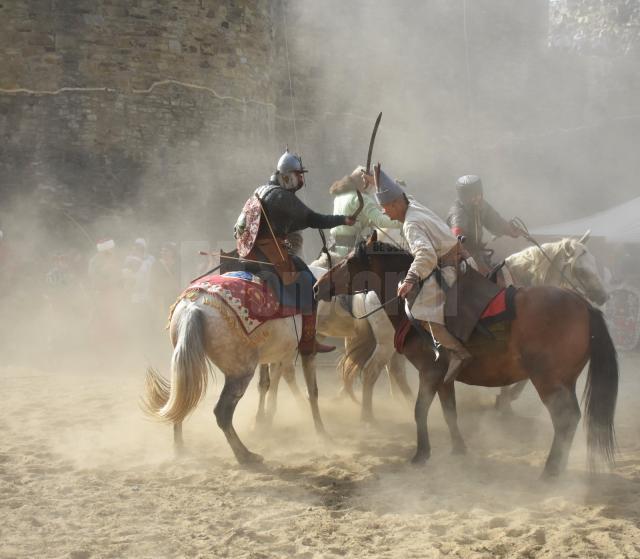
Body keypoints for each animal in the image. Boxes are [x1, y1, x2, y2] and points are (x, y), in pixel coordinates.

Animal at [314, 234, 616, 480]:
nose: (318, 286)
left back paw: (551, 470)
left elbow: (421, 410)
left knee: (565, 419)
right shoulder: (443, 377)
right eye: (581, 267)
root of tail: (584, 307)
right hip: (564, 381)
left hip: (549, 381)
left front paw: (421, 454)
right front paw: (459, 449)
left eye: (350, 261)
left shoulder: (430, 372)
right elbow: (449, 412)